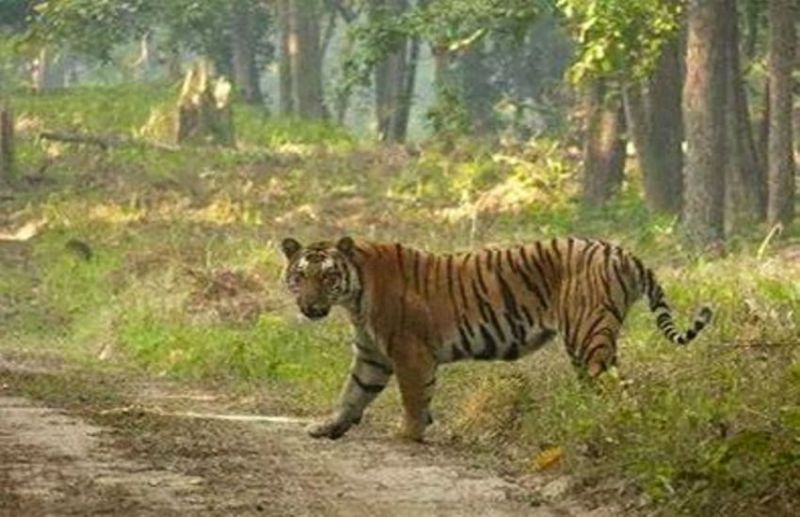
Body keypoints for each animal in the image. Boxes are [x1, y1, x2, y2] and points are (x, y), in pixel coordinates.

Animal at [280, 236, 712, 442]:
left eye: (328, 277)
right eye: (300, 276)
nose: (310, 306)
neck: (355, 296)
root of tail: (624, 253)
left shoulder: (409, 353)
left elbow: (413, 398)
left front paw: (408, 435)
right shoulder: (372, 355)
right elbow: (352, 394)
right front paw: (328, 428)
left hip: (587, 336)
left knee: (614, 388)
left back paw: (604, 425)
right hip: (591, 343)